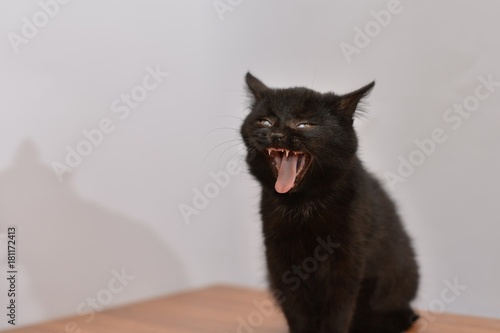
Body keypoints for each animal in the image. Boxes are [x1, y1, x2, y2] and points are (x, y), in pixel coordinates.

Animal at [240, 73, 420, 332]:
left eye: (304, 125)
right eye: (264, 121)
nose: (276, 135)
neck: (303, 204)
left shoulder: (348, 257)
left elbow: (338, 308)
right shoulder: (278, 257)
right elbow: (295, 309)